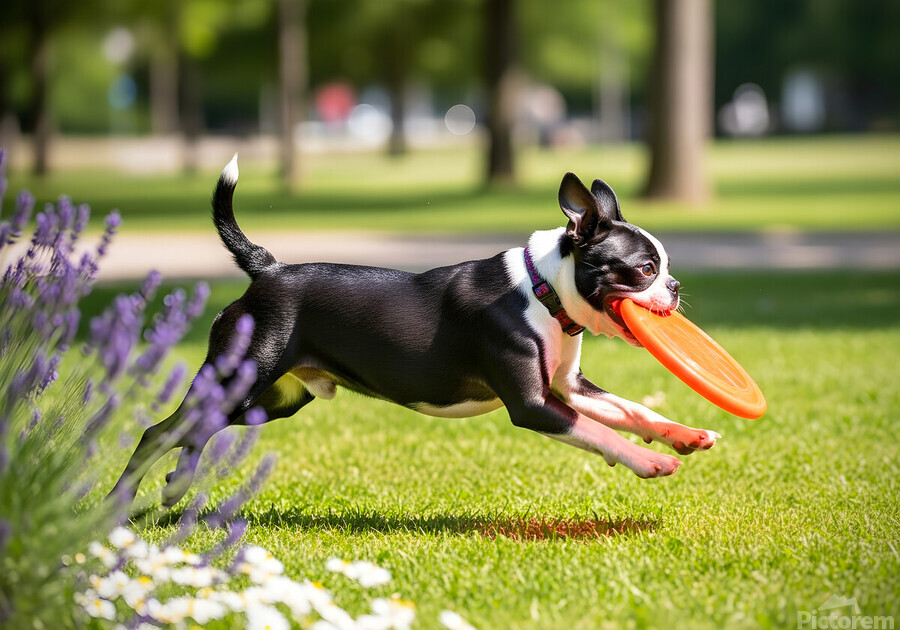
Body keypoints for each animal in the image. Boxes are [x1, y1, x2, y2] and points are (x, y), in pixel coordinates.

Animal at [111, 155, 719, 507]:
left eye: (663, 267)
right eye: (644, 269)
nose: (675, 286)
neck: (544, 290)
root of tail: (267, 270)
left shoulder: (568, 388)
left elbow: (631, 410)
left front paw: (684, 435)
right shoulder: (534, 404)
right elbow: (601, 434)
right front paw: (651, 461)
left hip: (268, 400)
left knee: (195, 431)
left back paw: (176, 487)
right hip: (239, 376)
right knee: (157, 432)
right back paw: (119, 505)